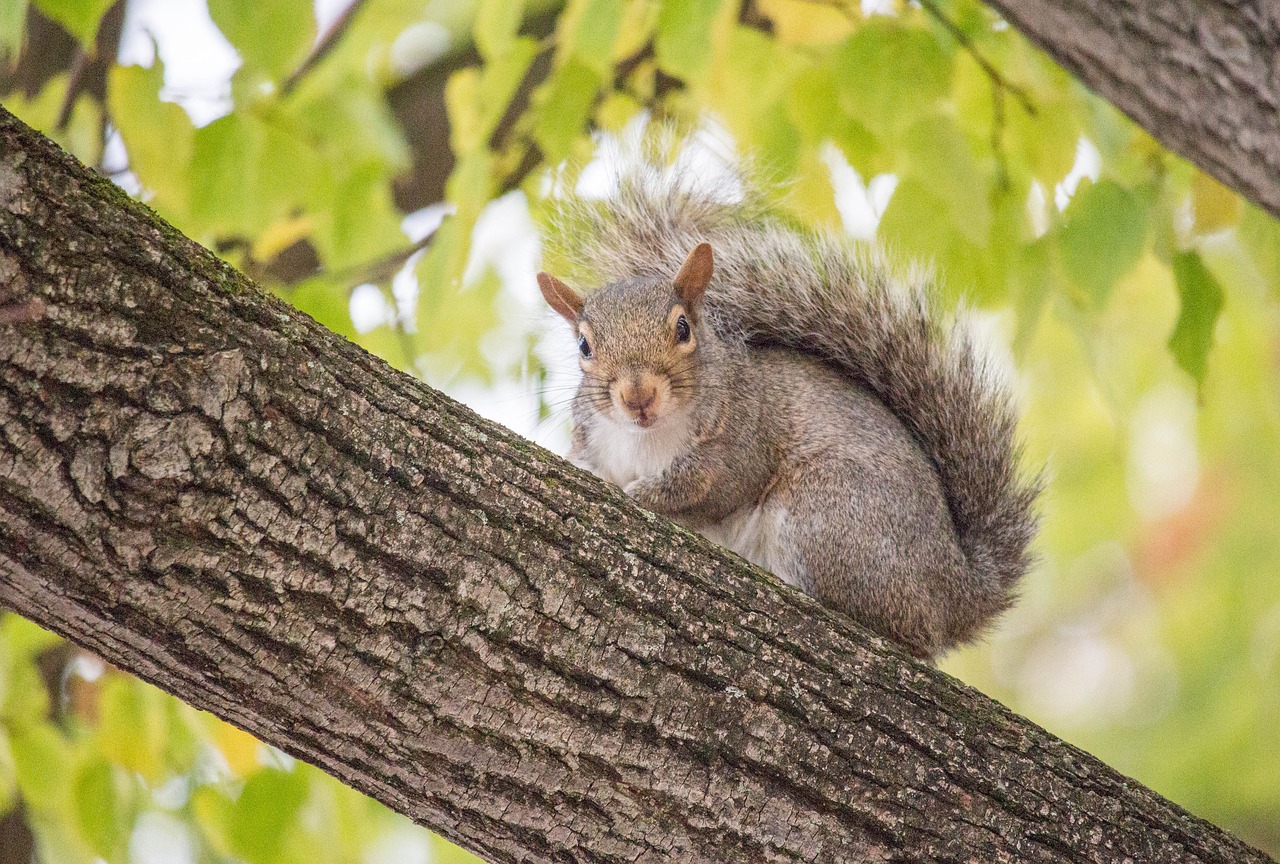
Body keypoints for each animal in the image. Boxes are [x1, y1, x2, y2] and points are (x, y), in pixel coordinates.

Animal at [532, 168, 1039, 660]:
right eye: (584, 346)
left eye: (683, 329)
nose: (638, 397)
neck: (646, 437)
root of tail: (957, 587)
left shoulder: (744, 439)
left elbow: (709, 486)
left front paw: (644, 493)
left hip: (829, 512)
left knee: (907, 633)